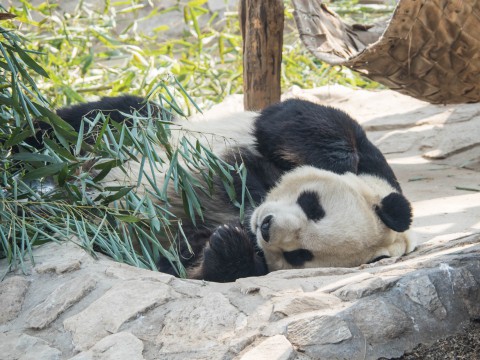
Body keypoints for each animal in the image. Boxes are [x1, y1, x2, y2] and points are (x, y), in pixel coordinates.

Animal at [49, 95, 416, 282]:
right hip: (133, 129)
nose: (266, 226)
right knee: (97, 117)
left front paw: (227, 244)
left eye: (299, 254)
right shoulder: (372, 164)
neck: (252, 203)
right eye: (313, 206)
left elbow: (192, 265)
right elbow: (294, 119)